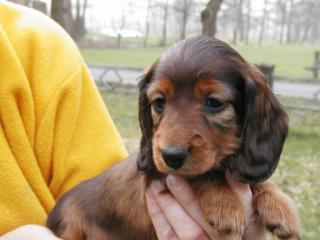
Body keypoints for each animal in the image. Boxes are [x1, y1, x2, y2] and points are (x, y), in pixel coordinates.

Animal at [46, 36, 302, 239]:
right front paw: (224, 203)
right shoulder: (158, 173)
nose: (172, 156)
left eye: (214, 102)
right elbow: (203, 174)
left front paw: (281, 206)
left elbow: (252, 179)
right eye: (159, 102)